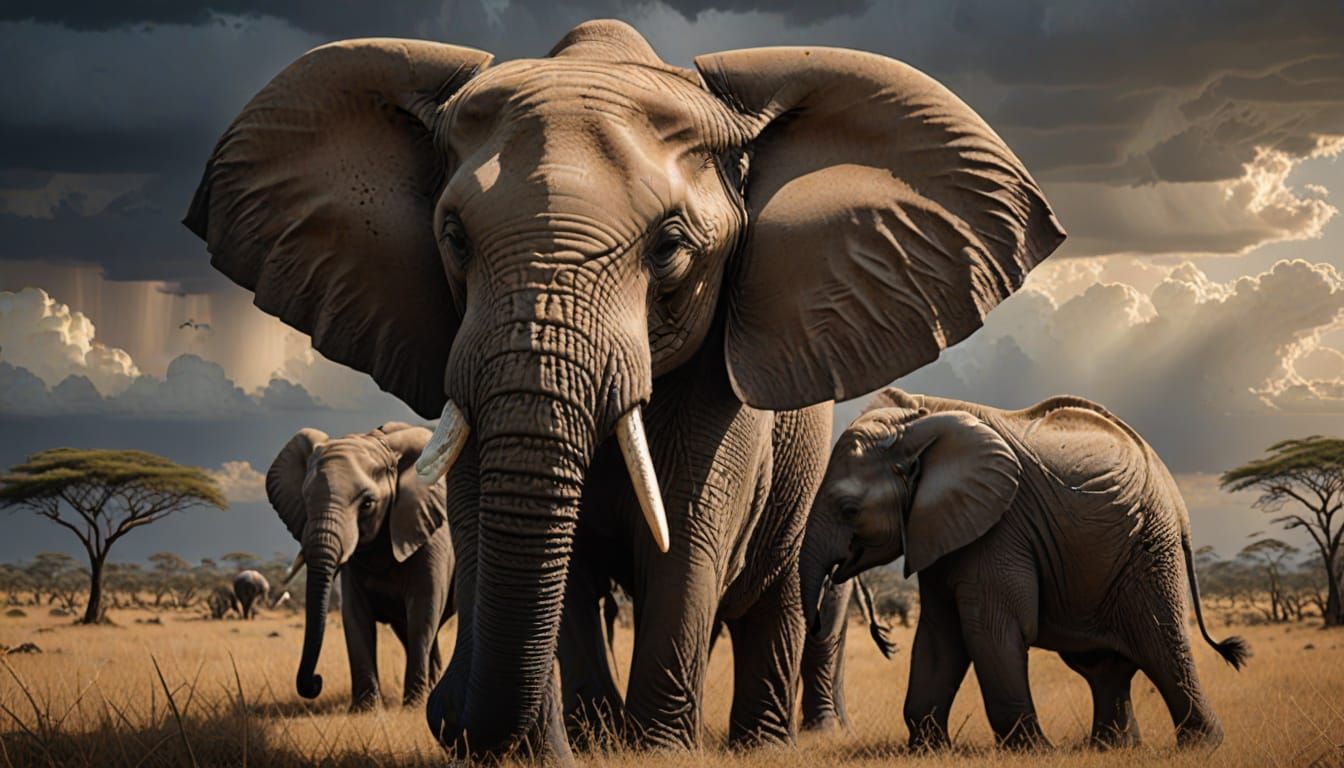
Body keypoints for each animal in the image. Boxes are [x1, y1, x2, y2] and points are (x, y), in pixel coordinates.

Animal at [267, 422, 456, 710]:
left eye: (367, 504)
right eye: (306, 500)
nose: (316, 682)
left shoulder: (430, 532)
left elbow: (423, 608)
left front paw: (412, 706)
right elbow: (355, 614)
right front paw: (365, 709)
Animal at [800, 388, 1249, 751]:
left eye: (849, 510)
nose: (820, 617)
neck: (917, 427)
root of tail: (1176, 496)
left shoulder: (1000, 526)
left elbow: (991, 629)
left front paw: (1037, 752)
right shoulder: (942, 526)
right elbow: (939, 634)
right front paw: (927, 751)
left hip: (1150, 547)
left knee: (1161, 644)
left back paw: (1201, 747)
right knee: (1103, 664)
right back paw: (1112, 748)